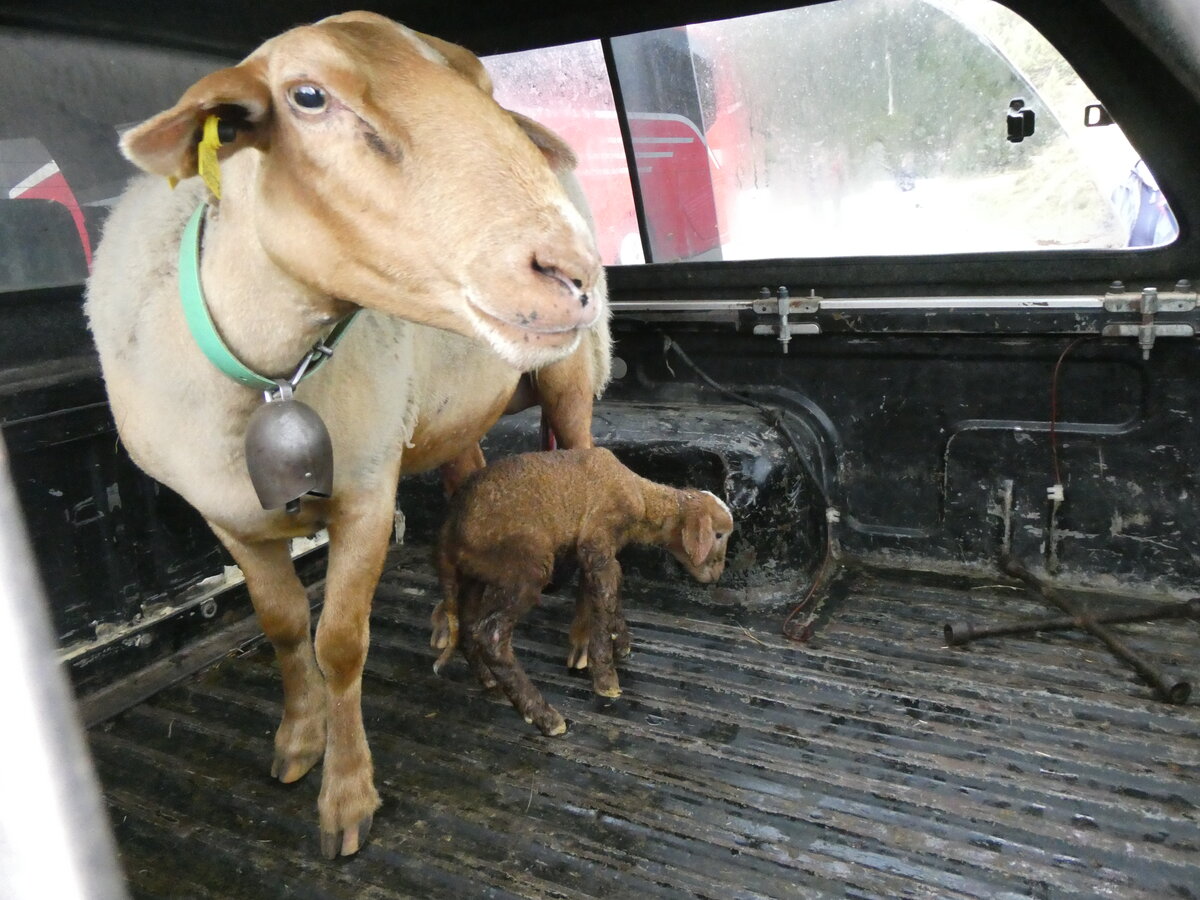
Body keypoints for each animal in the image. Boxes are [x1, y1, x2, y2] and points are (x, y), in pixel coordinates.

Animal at [85, 14, 609, 859]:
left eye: (486, 88)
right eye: (307, 97)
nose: (569, 269)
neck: (269, 377)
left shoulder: (365, 491)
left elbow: (339, 641)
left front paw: (348, 796)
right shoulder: (226, 518)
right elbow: (281, 624)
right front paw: (298, 741)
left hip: (570, 376)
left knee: (586, 468)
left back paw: (585, 639)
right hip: (450, 411)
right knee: (467, 483)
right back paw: (448, 623)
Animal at [432, 448, 729, 734]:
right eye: (718, 535)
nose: (717, 574)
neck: (643, 499)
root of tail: (449, 528)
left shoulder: (601, 552)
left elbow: (611, 590)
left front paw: (620, 642)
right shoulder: (597, 538)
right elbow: (605, 597)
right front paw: (606, 679)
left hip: (476, 573)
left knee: (468, 626)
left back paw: (489, 680)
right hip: (523, 564)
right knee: (491, 635)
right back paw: (545, 717)